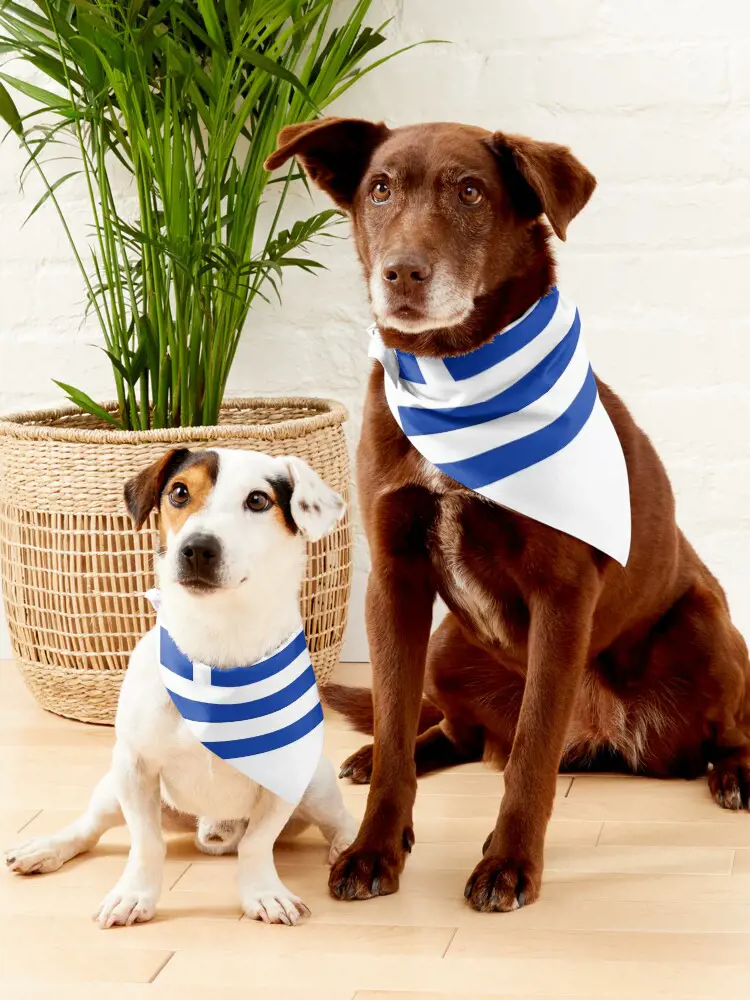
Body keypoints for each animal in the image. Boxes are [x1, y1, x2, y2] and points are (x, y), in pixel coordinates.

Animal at [5, 448, 358, 928]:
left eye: (258, 500)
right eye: (178, 492)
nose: (198, 547)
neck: (215, 647)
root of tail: (214, 826)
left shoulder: (284, 773)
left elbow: (258, 844)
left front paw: (263, 893)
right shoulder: (134, 767)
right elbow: (146, 843)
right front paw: (134, 894)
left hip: (315, 783)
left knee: (339, 819)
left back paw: (351, 848)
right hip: (113, 787)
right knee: (89, 828)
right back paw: (46, 848)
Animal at [264, 121, 750, 912]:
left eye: (470, 192)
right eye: (380, 188)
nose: (402, 273)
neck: (455, 377)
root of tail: (612, 741)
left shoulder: (562, 597)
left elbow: (530, 752)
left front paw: (508, 864)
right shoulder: (393, 580)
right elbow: (397, 722)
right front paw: (374, 847)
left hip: (704, 631)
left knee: (729, 726)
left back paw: (735, 774)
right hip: (448, 647)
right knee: (453, 731)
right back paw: (380, 754)